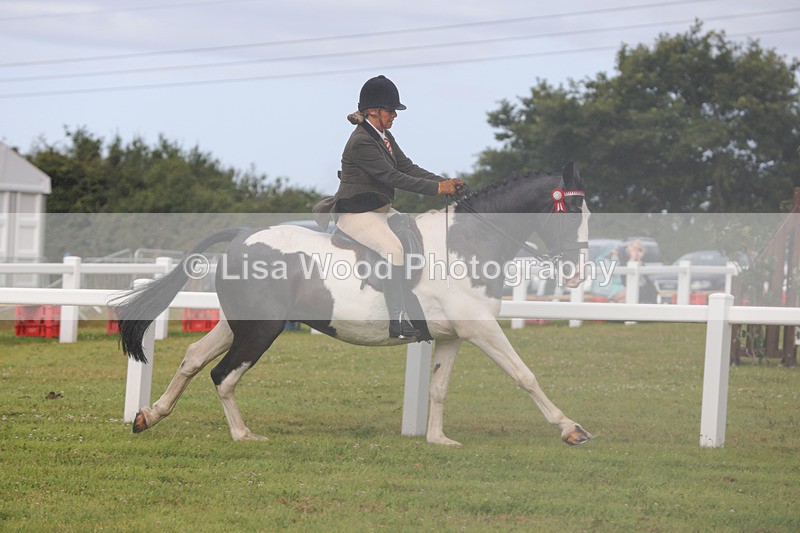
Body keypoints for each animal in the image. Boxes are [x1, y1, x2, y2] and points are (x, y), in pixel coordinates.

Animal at [114, 162, 592, 447]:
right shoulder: (480, 329)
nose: (576, 275)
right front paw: (571, 428)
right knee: (223, 375)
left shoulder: (454, 335)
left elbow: (438, 388)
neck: (466, 243)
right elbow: (524, 375)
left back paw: (149, 415)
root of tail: (242, 234)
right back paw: (243, 435)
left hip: (240, 324)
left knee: (194, 357)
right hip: (262, 330)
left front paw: (438, 440)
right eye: (572, 213)